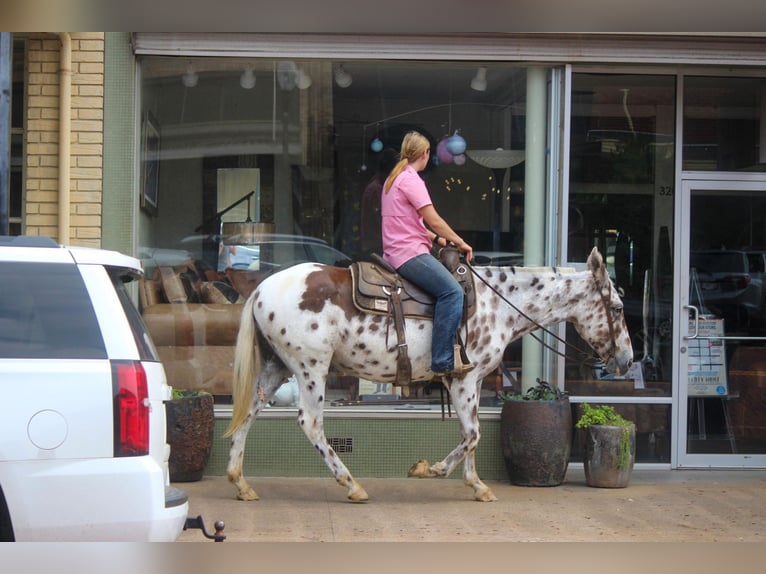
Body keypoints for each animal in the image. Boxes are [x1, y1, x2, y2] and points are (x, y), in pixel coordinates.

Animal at [225, 248, 632, 504]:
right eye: (616, 307)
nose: (627, 360)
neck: (497, 304)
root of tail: (259, 291)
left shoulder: (474, 381)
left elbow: (471, 432)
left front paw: (477, 485)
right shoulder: (464, 379)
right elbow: (473, 434)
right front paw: (429, 469)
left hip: (277, 367)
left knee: (248, 413)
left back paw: (240, 482)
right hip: (312, 367)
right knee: (310, 423)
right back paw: (351, 485)